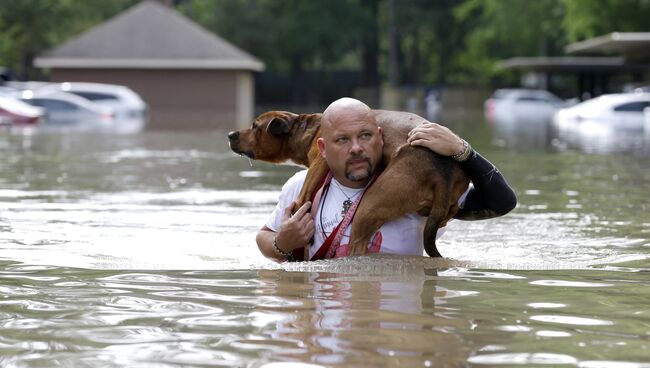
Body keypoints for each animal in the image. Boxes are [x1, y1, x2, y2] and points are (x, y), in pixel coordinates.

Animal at [228, 110, 466, 258]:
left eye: (254, 126)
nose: (230, 134)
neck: (307, 128)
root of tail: (442, 172)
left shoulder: (318, 164)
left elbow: (302, 198)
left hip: (370, 206)